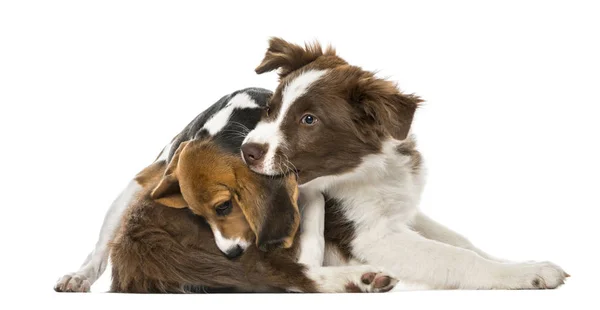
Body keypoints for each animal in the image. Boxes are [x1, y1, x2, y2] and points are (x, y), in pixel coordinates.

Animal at [241, 37, 568, 290]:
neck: (368, 167)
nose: (247, 151)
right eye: (270, 109)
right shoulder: (372, 236)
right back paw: (358, 279)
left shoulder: (401, 208)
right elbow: (455, 256)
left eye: (309, 120)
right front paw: (526, 273)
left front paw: (513, 262)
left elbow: (460, 241)